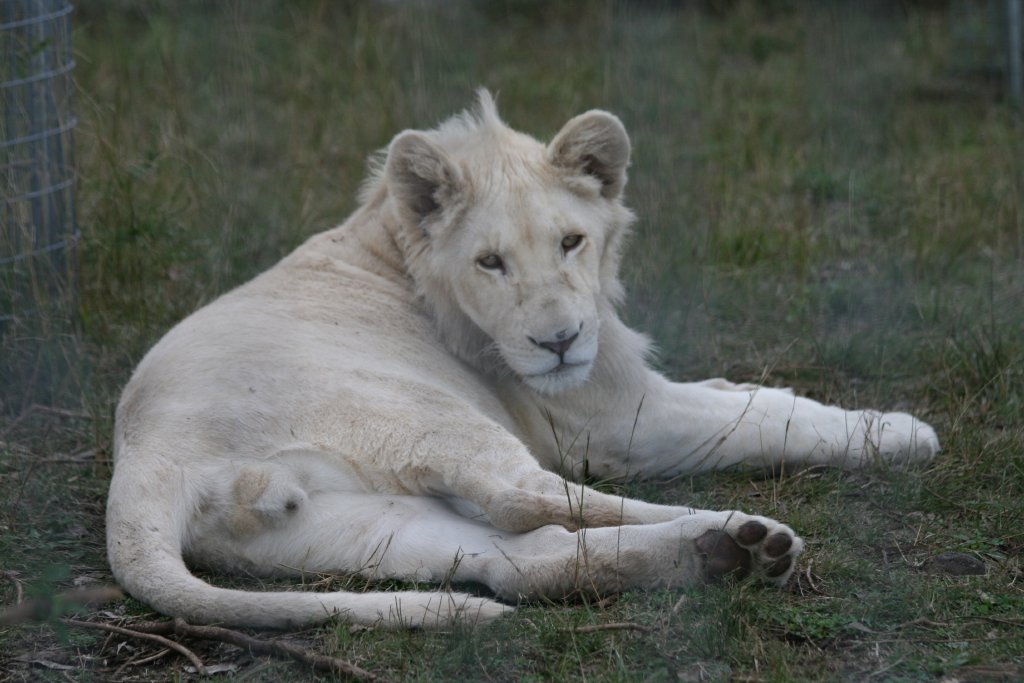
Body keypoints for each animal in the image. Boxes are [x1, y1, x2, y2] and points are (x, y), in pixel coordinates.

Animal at [107, 91, 938, 629]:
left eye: (571, 241)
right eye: (491, 262)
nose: (559, 342)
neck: (394, 249)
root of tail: (145, 461)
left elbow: (740, 393)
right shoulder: (615, 419)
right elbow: (767, 415)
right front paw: (897, 431)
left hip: (353, 522)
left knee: (520, 559)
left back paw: (725, 554)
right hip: (423, 411)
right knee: (527, 497)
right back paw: (740, 529)